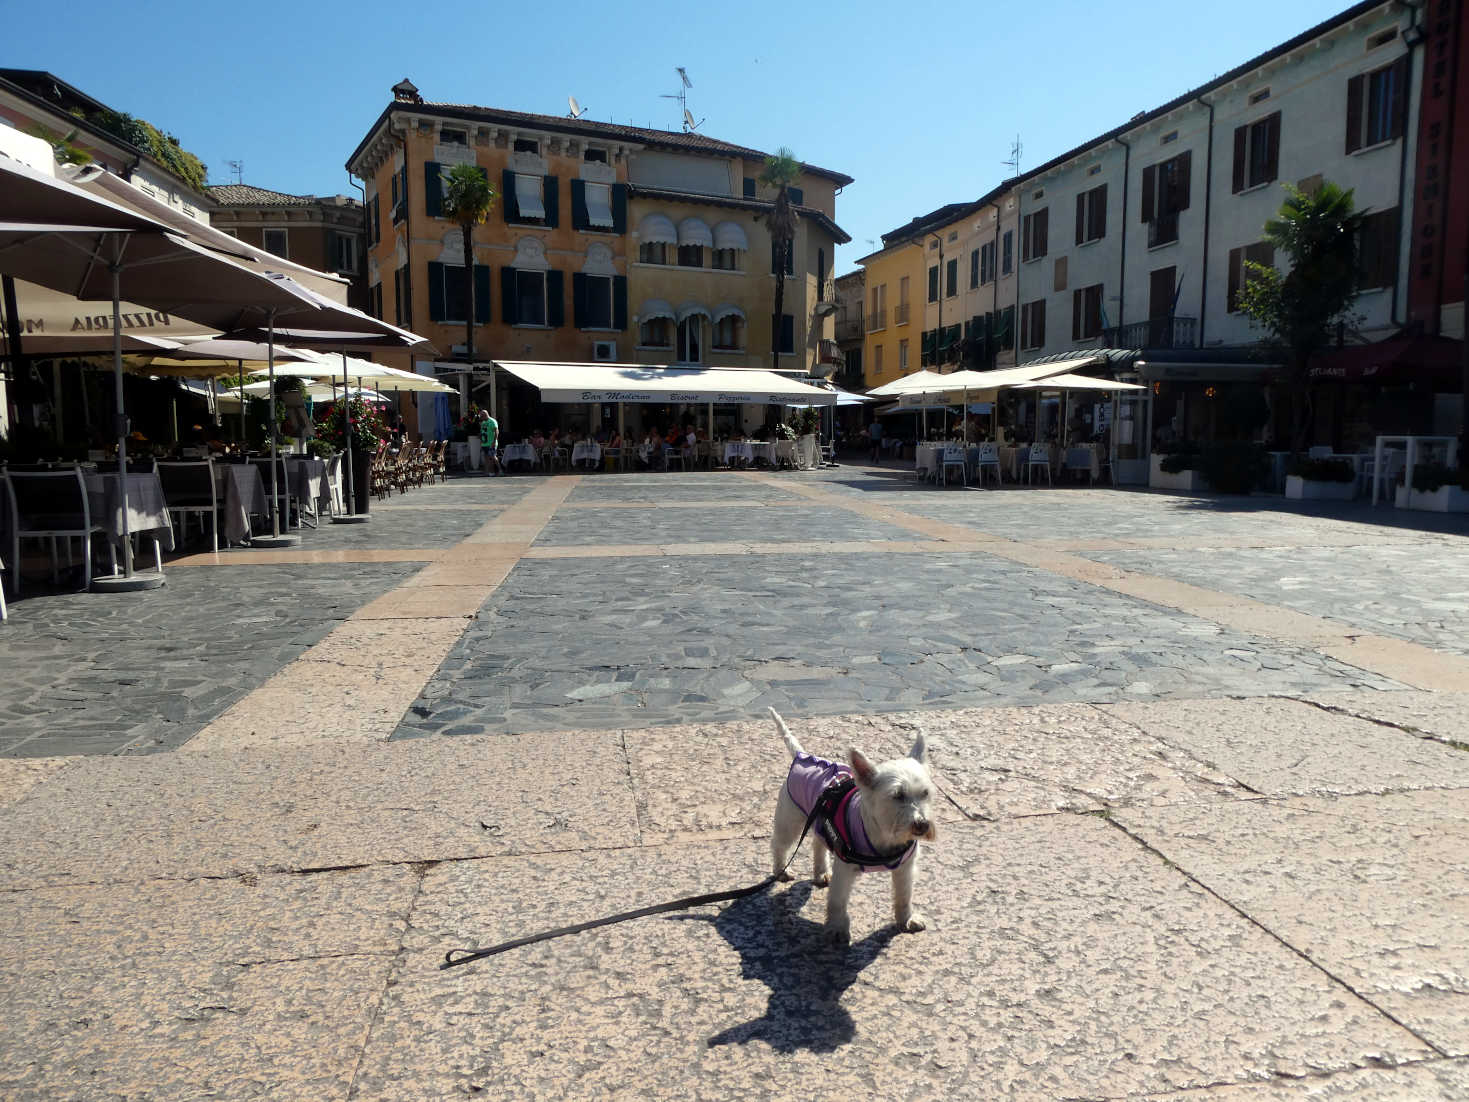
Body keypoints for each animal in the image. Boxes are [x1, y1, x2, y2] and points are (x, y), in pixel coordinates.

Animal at [763, 717, 934, 952]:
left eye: (925, 793)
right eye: (898, 795)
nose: (922, 825)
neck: (885, 835)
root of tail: (802, 756)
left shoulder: (906, 867)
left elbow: (904, 894)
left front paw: (906, 919)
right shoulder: (844, 869)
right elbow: (838, 900)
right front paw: (837, 930)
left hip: (818, 820)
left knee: (818, 843)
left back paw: (821, 873)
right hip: (790, 820)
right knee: (780, 844)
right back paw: (781, 870)